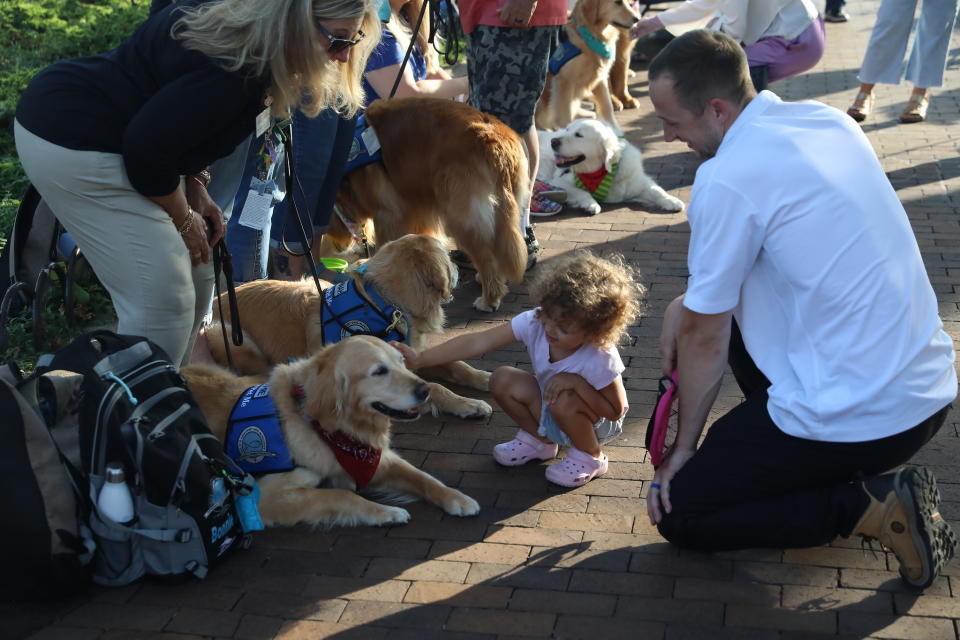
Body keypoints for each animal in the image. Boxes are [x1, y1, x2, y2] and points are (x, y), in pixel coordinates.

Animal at [181, 338, 480, 528]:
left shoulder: (379, 460)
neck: (332, 431)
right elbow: (341, 495)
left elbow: (424, 477)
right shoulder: (264, 496)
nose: (424, 389)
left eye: (401, 361)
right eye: (379, 371)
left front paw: (457, 498)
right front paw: (387, 512)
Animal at [210, 235, 496, 420]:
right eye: (446, 256)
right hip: (225, 335)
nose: (458, 263)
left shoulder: (410, 354)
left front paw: (485, 379)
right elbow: (434, 387)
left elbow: (456, 364)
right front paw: (469, 404)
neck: (384, 304)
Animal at [328, 97, 524, 312]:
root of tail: (497, 141)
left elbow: (385, 245)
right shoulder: (418, 210)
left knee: (486, 257)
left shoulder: (387, 214)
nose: (338, 248)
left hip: (462, 218)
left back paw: (489, 298)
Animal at [536, 0, 640, 132]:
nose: (637, 19)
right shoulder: (564, 81)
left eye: (629, 3)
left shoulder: (600, 78)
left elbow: (607, 107)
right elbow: (565, 113)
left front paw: (614, 130)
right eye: (617, 2)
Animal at [536, 120, 688, 218]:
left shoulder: (638, 181)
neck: (599, 173)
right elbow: (581, 191)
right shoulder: (558, 182)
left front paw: (671, 200)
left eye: (579, 135)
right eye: (567, 129)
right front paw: (591, 204)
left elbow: (657, 190)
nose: (553, 141)